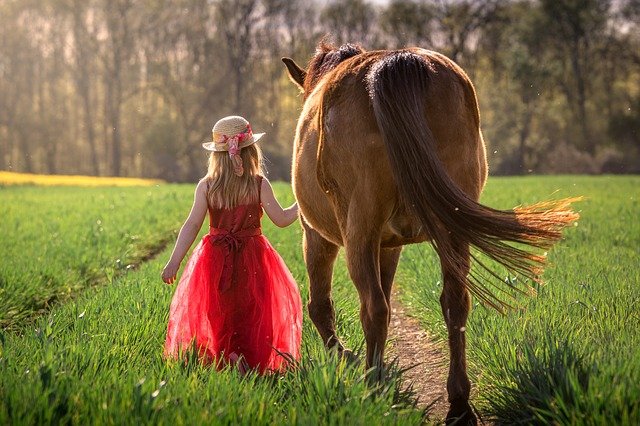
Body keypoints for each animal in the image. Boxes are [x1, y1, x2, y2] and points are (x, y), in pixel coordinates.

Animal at [282, 41, 579, 423]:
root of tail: (397, 62)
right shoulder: (390, 245)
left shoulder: (317, 235)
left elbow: (320, 304)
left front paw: (345, 358)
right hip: (451, 231)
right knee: (455, 302)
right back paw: (459, 403)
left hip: (359, 232)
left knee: (373, 306)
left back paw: (374, 387)